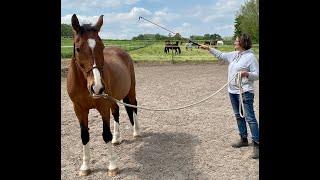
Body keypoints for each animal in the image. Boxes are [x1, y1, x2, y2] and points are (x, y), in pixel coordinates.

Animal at [66, 13, 140, 176]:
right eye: (78, 48)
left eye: (102, 47)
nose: (97, 87)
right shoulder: (79, 110)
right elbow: (84, 136)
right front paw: (85, 167)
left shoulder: (103, 106)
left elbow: (106, 134)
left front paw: (112, 166)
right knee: (116, 111)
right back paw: (117, 139)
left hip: (130, 91)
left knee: (134, 106)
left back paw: (136, 132)